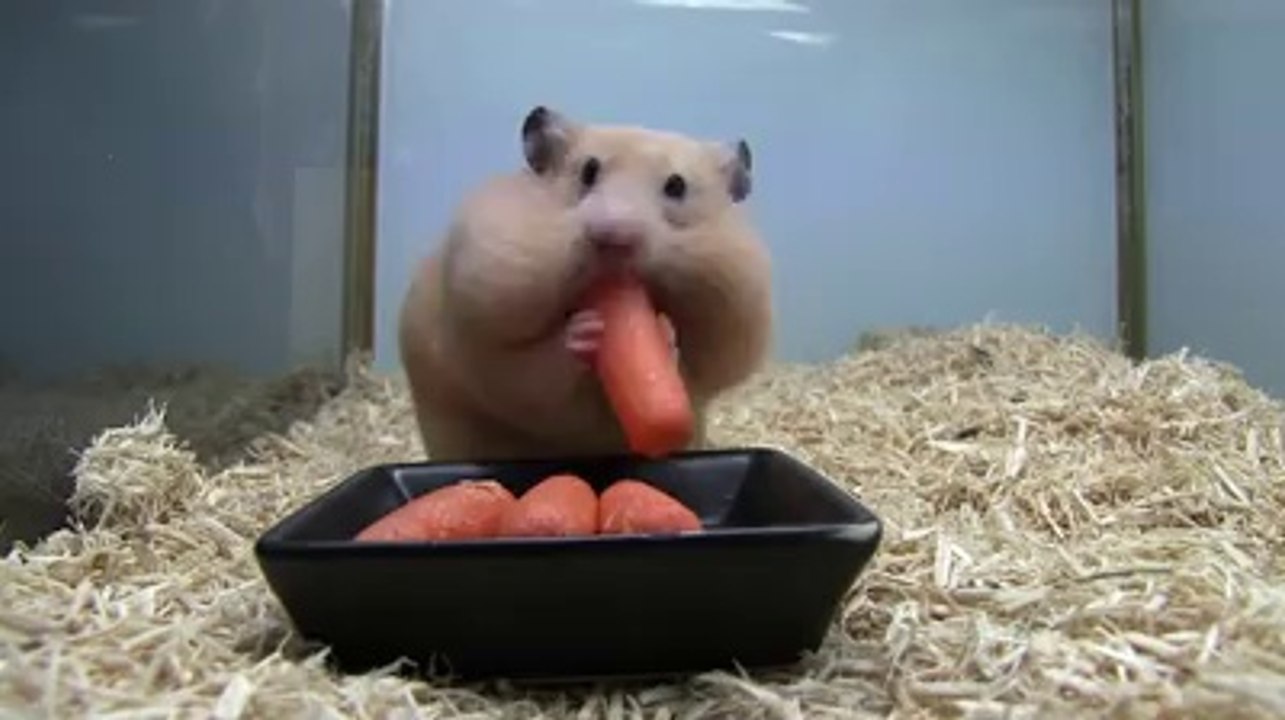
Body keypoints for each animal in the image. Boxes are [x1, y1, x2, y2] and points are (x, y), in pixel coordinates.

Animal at [397, 105, 773, 462]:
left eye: (677, 186)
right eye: (588, 171)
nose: (613, 237)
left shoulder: (716, 354)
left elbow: (691, 367)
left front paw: (664, 332)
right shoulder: (488, 343)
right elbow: (531, 373)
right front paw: (588, 329)